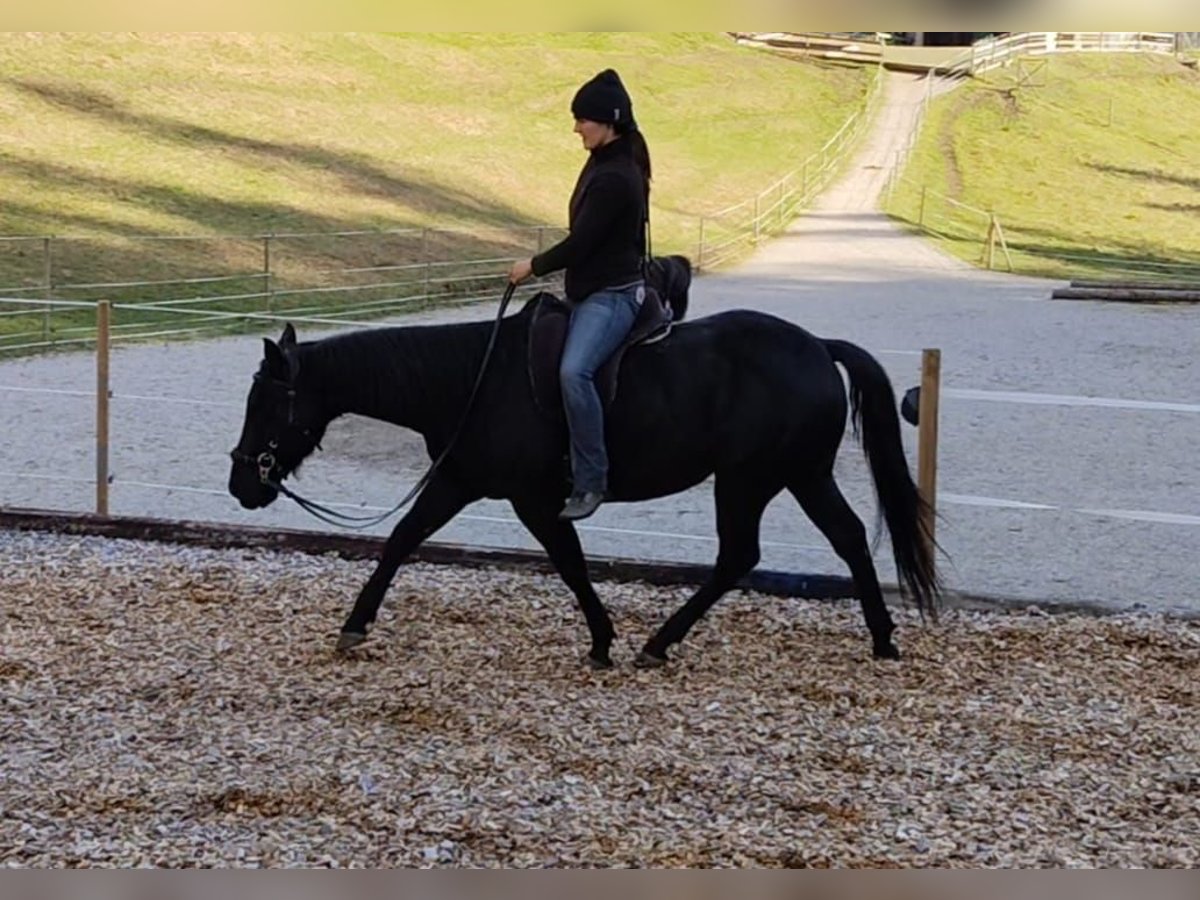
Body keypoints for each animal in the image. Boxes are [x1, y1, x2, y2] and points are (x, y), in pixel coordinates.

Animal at [227, 257, 940, 669]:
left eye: (265, 404)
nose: (241, 482)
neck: (473, 379)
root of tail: (817, 346)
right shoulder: (458, 481)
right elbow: (401, 541)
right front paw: (355, 625)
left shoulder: (534, 500)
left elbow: (569, 564)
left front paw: (602, 640)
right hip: (797, 475)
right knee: (846, 539)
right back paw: (881, 638)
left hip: (751, 479)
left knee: (743, 555)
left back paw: (661, 643)